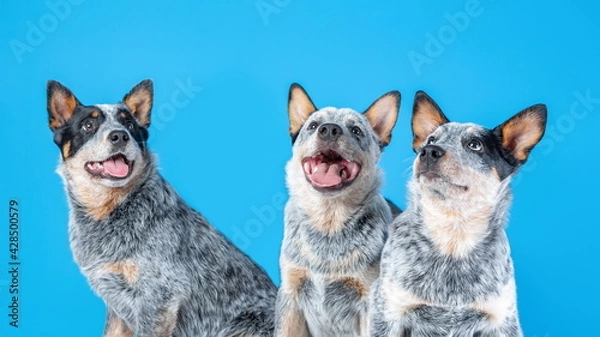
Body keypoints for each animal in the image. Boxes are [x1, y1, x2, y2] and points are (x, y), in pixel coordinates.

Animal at [46, 79, 276, 336]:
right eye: (88, 125)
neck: (108, 211)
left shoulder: (158, 299)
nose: (119, 135)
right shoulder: (116, 304)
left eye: (129, 125)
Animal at [278, 83, 404, 336]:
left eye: (356, 130)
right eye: (313, 125)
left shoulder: (369, 301)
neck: (328, 223)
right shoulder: (290, 295)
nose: (329, 129)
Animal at [368, 91, 548, 336]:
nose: (428, 151)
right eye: (431, 139)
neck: (453, 237)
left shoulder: (503, 320)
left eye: (475, 145)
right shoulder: (387, 313)